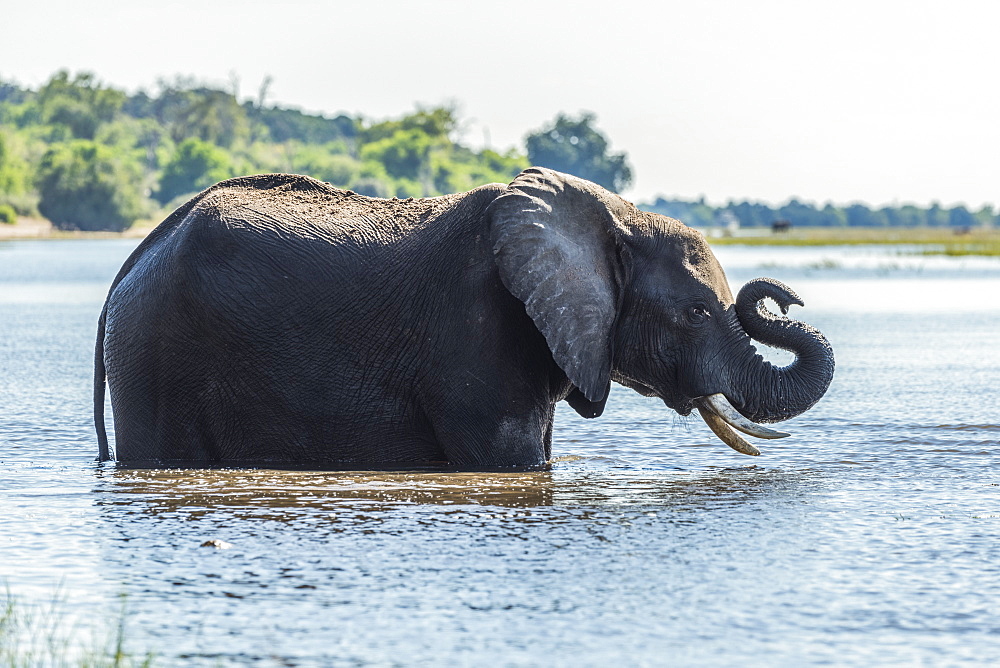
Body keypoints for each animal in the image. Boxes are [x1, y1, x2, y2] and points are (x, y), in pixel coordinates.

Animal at [94, 170, 832, 468]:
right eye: (698, 311)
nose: (779, 296)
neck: (609, 218)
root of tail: (137, 256)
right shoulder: (475, 331)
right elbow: (512, 459)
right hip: (156, 354)